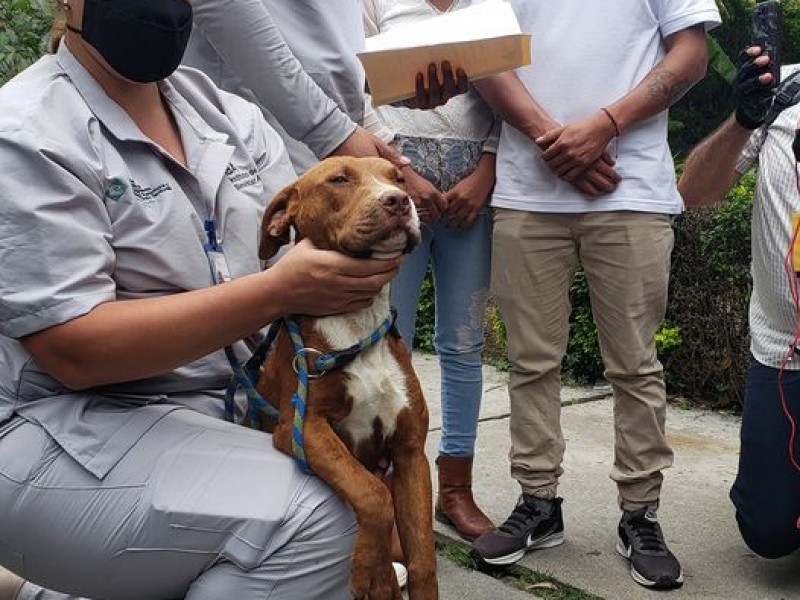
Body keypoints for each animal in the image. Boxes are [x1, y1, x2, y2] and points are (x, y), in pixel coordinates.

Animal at [256, 156, 438, 600]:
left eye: (399, 178)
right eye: (339, 179)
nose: (399, 201)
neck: (358, 323)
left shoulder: (410, 452)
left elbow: (423, 557)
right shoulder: (303, 429)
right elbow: (372, 495)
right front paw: (363, 569)